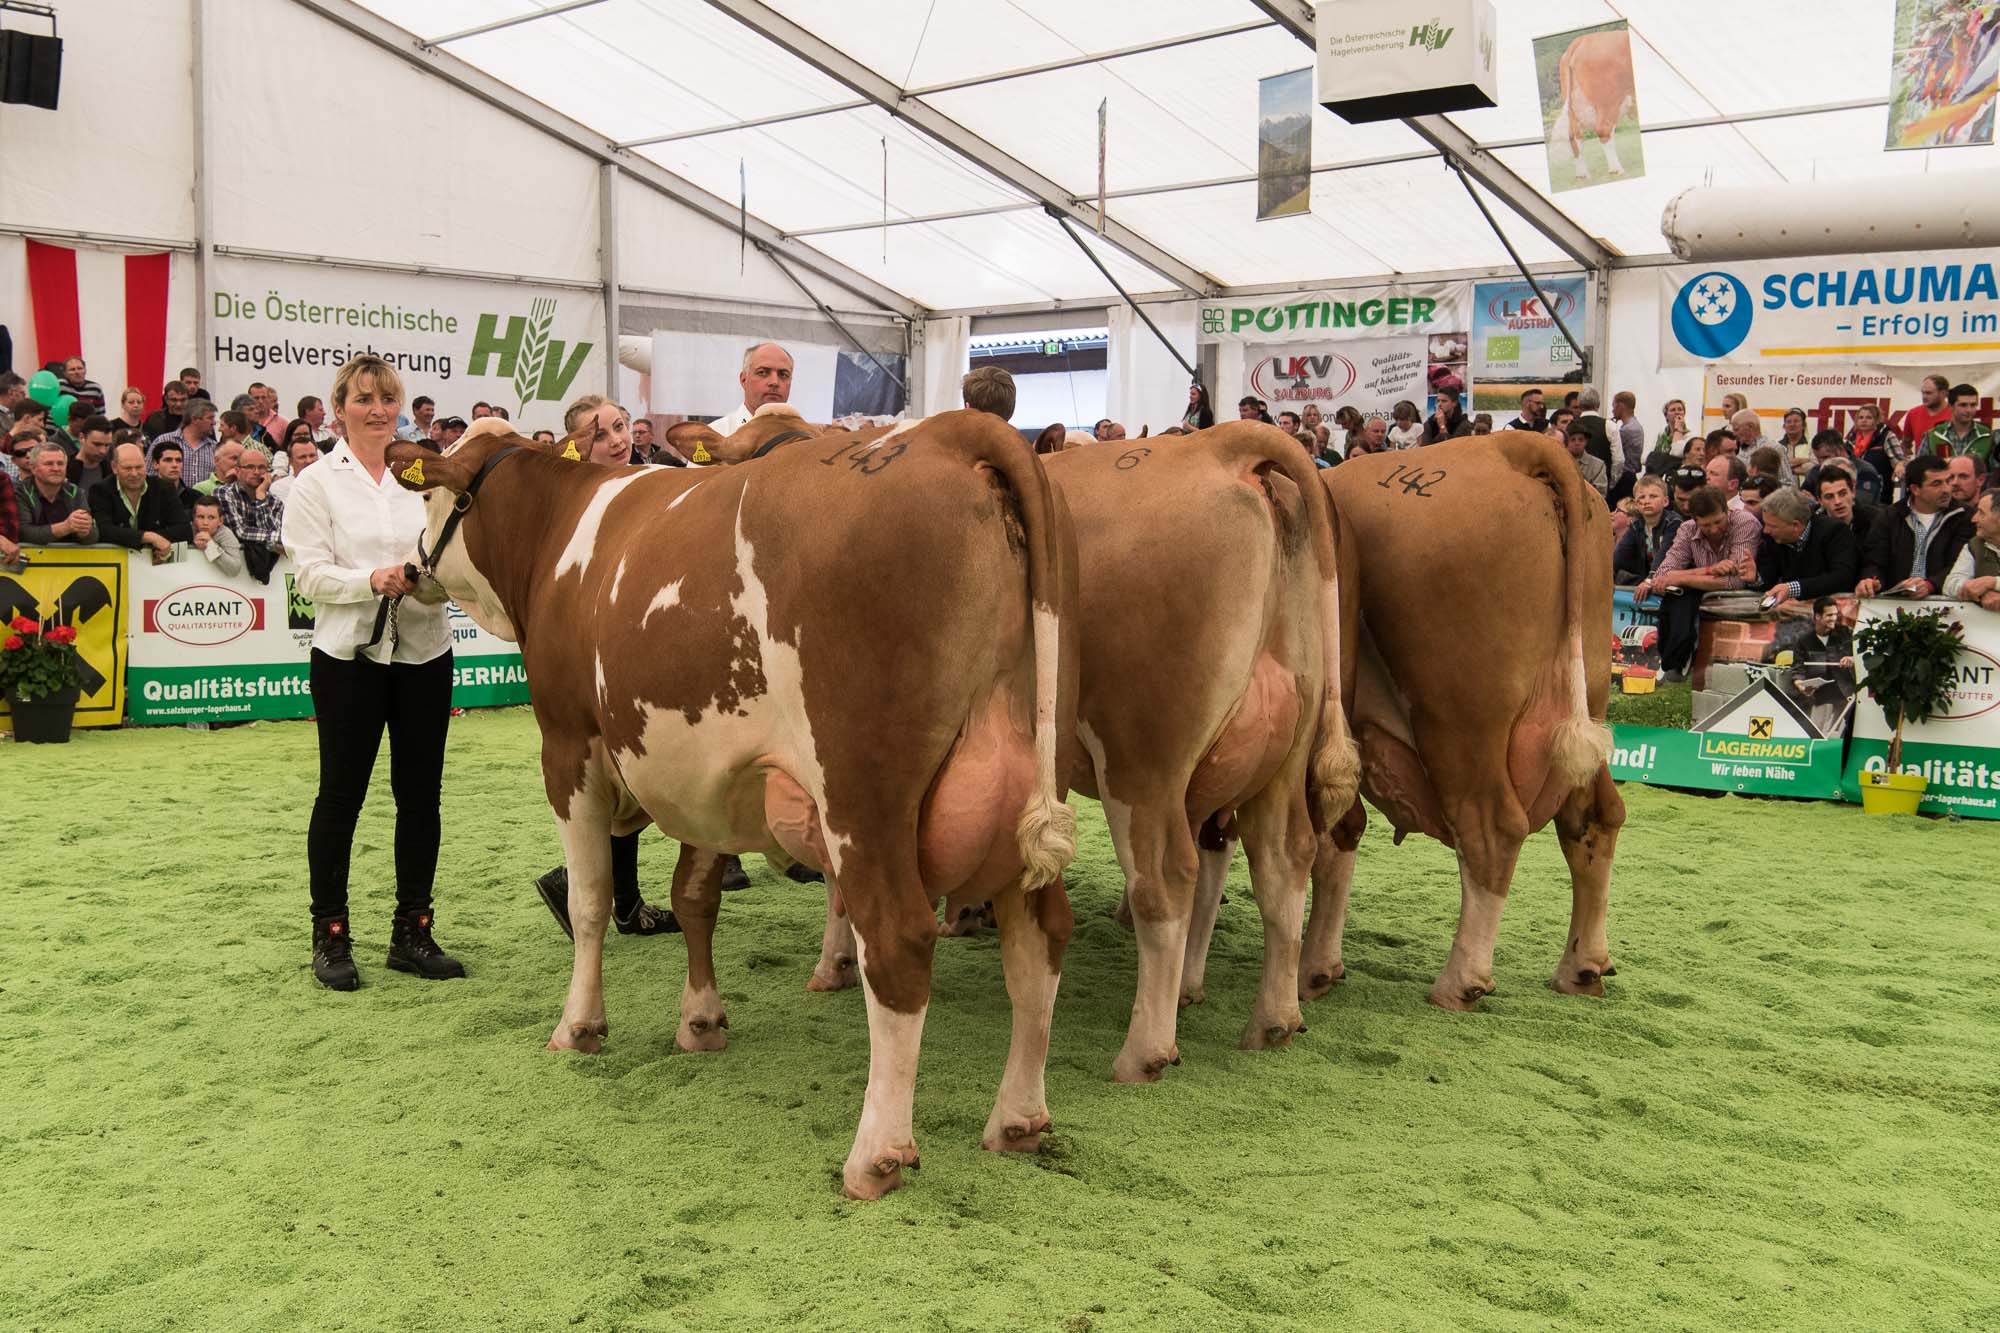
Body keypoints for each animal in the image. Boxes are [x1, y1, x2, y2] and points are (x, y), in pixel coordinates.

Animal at [384, 410, 1088, 1200]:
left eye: (426, 498)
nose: (408, 570)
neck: (558, 533)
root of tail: (951, 431)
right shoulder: (705, 777)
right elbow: (694, 896)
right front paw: (699, 1021)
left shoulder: (569, 747)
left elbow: (591, 900)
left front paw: (580, 1026)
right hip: (1034, 767)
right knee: (1040, 935)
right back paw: (1019, 1118)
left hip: (861, 792)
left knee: (899, 940)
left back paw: (876, 1153)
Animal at [1544, 28, 1640, 182]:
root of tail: (1581, 39)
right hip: (1608, 101)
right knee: (1603, 130)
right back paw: (1616, 169)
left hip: (1575, 106)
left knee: (1575, 135)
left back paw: (1582, 174)